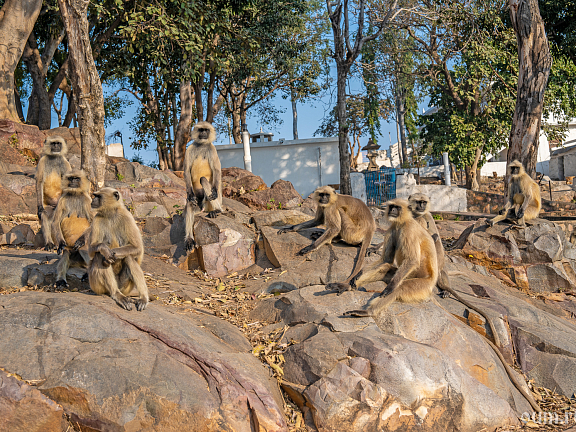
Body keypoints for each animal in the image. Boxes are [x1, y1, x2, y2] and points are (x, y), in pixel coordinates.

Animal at [183, 121, 223, 252]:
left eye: (206, 130)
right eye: (201, 130)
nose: (204, 133)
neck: (202, 145)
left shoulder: (212, 149)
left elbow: (216, 170)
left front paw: (214, 191)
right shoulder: (190, 148)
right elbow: (186, 171)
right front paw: (190, 195)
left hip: (208, 202)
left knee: (203, 180)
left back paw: (217, 210)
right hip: (199, 203)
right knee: (190, 202)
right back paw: (189, 239)